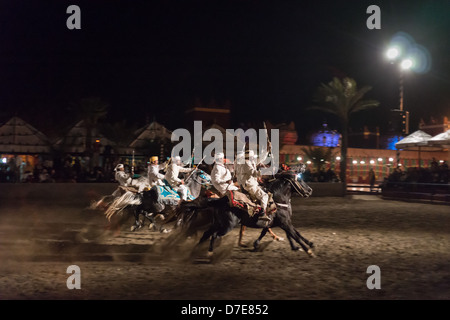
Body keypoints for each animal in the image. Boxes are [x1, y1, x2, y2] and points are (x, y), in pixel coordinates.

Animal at [185, 170, 314, 258]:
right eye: (300, 180)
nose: (310, 190)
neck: (277, 200)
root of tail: (220, 200)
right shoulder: (284, 222)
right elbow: (295, 235)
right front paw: (308, 251)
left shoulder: (283, 222)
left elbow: (294, 233)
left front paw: (308, 244)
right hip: (227, 226)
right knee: (214, 235)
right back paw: (209, 253)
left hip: (217, 223)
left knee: (206, 234)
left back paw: (194, 251)